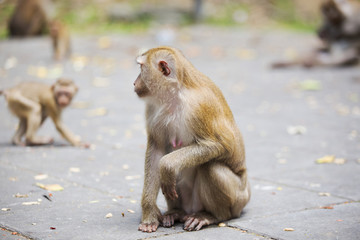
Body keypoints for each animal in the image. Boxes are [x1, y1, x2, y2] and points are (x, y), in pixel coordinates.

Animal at [134, 47, 250, 232]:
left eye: (140, 68)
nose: (134, 82)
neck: (176, 92)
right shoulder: (153, 108)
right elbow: (157, 149)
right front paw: (149, 214)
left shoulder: (200, 106)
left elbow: (221, 145)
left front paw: (168, 165)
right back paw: (176, 212)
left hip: (238, 200)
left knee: (210, 166)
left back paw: (212, 216)